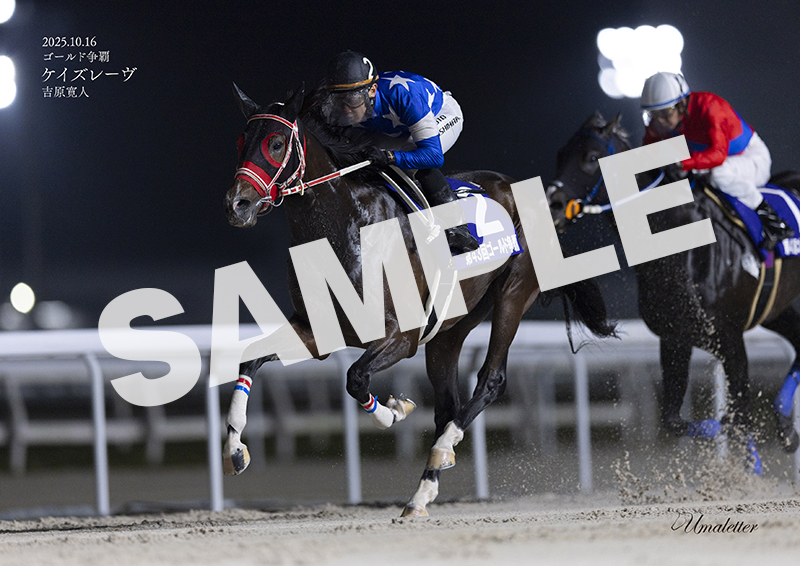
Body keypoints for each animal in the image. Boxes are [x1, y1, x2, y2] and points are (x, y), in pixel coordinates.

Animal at [222, 85, 617, 516]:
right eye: (241, 141)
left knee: (490, 381)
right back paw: (422, 492)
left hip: (514, 292)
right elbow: (249, 359)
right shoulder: (316, 329)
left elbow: (355, 377)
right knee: (447, 405)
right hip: (450, 326)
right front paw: (235, 448)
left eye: (276, 143)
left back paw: (442, 450)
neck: (348, 227)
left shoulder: (402, 336)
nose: (237, 204)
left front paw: (394, 411)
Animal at [547, 112, 800, 471]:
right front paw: (724, 429)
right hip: (775, 309)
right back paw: (784, 427)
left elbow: (740, 415)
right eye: (560, 155)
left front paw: (751, 466)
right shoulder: (674, 338)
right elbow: (673, 420)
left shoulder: (729, 337)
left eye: (592, 157)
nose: (553, 204)